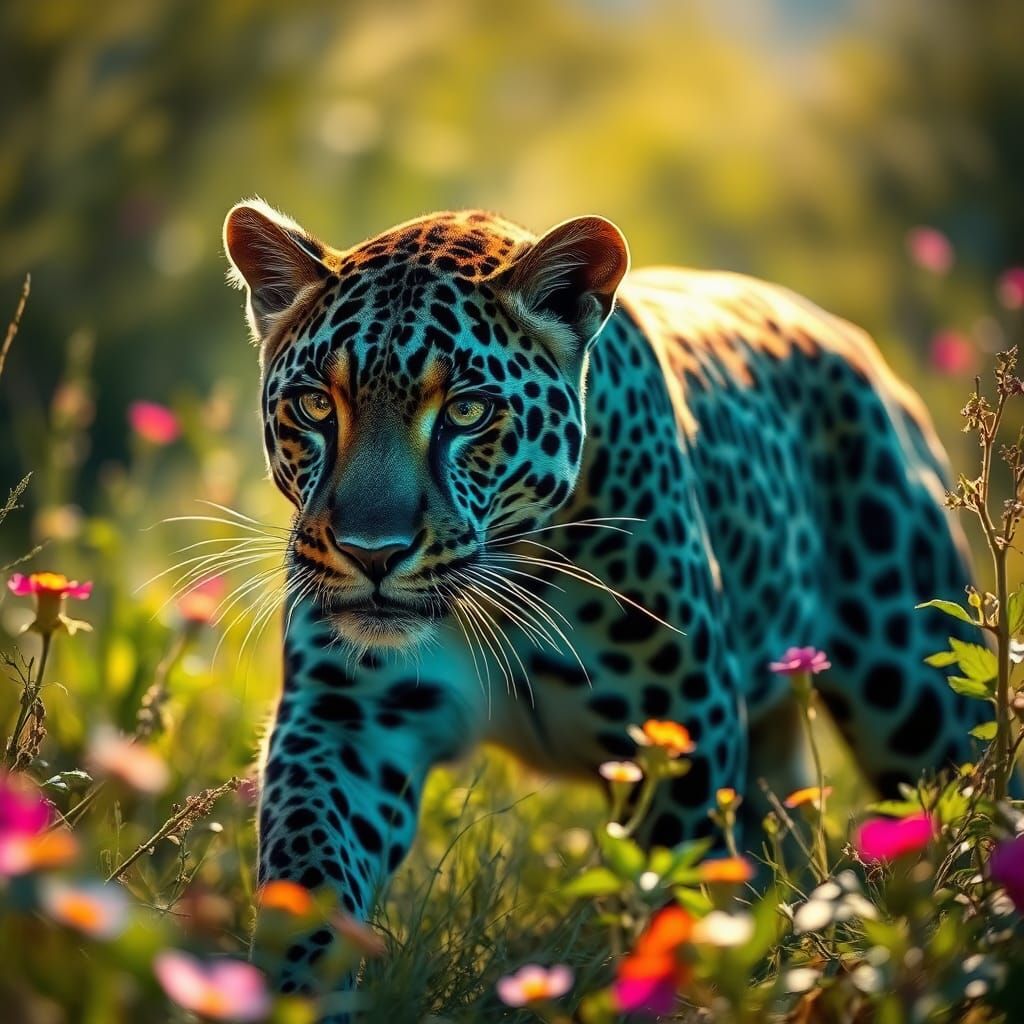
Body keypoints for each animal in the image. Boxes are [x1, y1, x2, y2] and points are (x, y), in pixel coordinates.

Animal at [222, 199, 983, 1011]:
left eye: (466, 412)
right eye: (313, 405)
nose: (371, 553)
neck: (512, 585)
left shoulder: (682, 734)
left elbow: (673, 904)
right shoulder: (347, 717)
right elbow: (309, 872)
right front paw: (295, 993)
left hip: (915, 697)